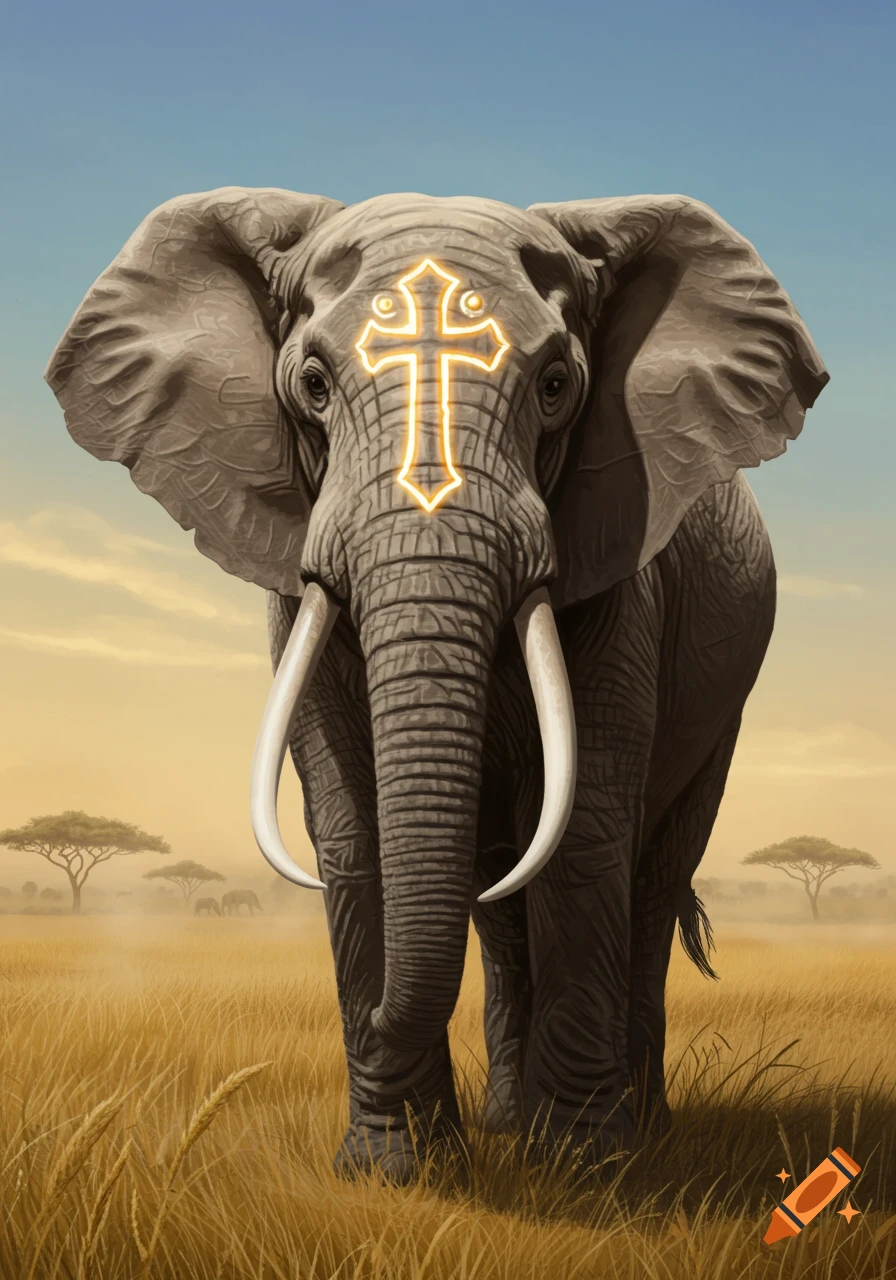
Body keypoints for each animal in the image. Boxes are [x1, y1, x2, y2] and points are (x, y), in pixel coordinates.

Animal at [46, 186, 827, 1183]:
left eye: (557, 387)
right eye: (311, 386)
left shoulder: (623, 566)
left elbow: (584, 830)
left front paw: (582, 1171)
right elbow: (353, 828)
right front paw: (394, 1171)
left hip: (723, 700)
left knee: (650, 875)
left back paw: (635, 1130)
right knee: (499, 901)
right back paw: (507, 1121)